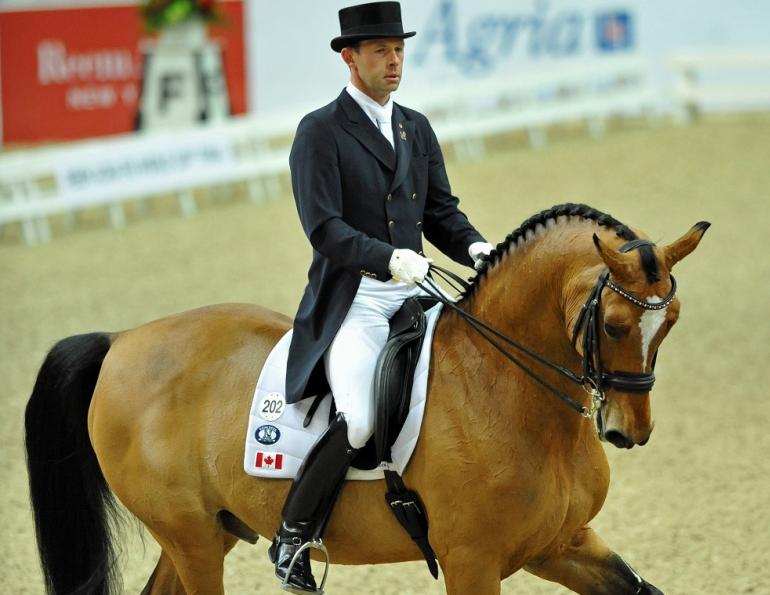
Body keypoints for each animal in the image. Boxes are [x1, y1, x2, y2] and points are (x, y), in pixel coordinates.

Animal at [25, 203, 709, 595]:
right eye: (615, 326)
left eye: (671, 320)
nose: (627, 431)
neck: (506, 389)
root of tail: (121, 341)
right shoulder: (473, 561)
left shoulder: (558, 543)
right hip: (189, 537)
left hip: (210, 533)